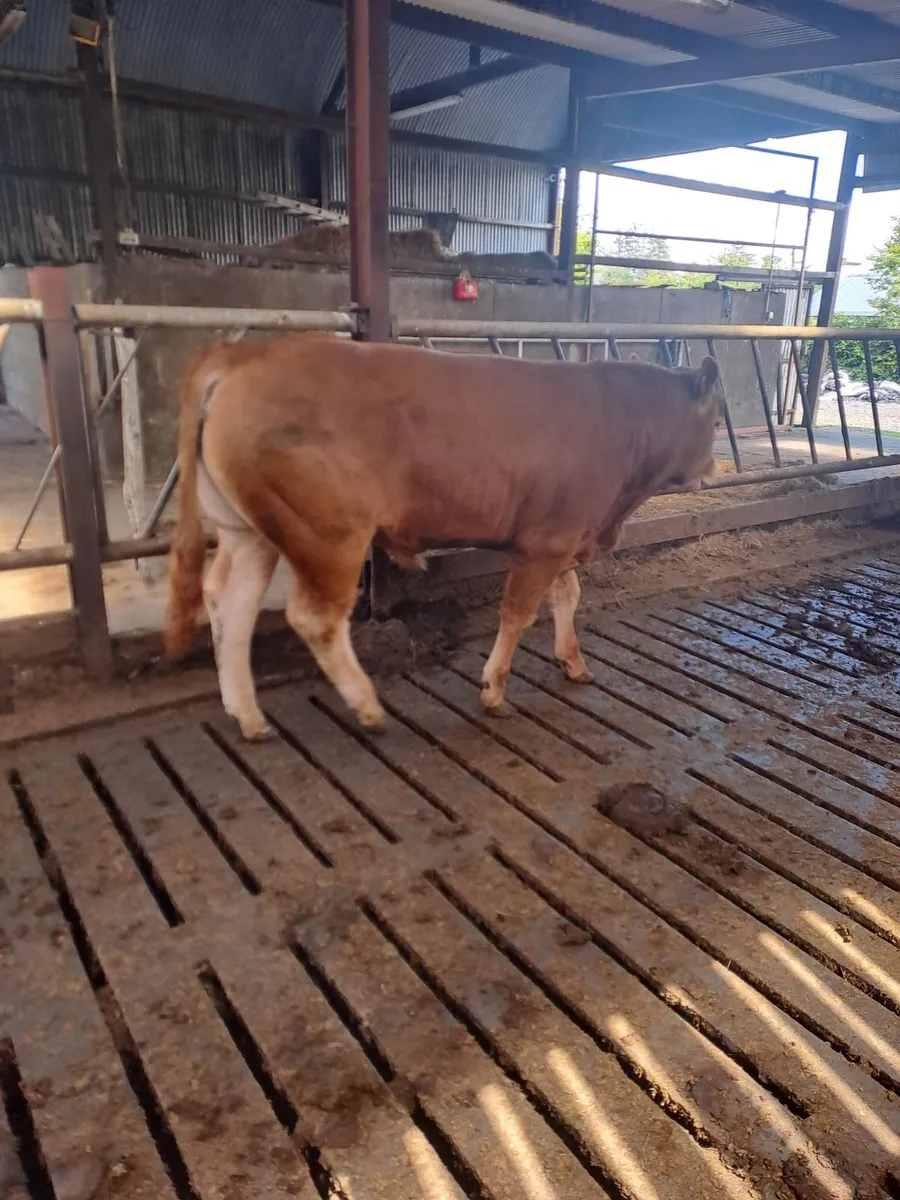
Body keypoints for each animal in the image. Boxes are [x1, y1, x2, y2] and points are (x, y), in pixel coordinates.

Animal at [165, 335, 724, 741]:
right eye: (717, 418)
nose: (711, 468)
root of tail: (244, 354)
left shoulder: (566, 536)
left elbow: (568, 596)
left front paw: (574, 662)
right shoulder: (546, 541)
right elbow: (518, 613)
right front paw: (494, 691)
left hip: (248, 530)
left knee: (228, 602)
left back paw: (249, 716)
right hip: (328, 532)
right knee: (314, 617)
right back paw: (367, 707)